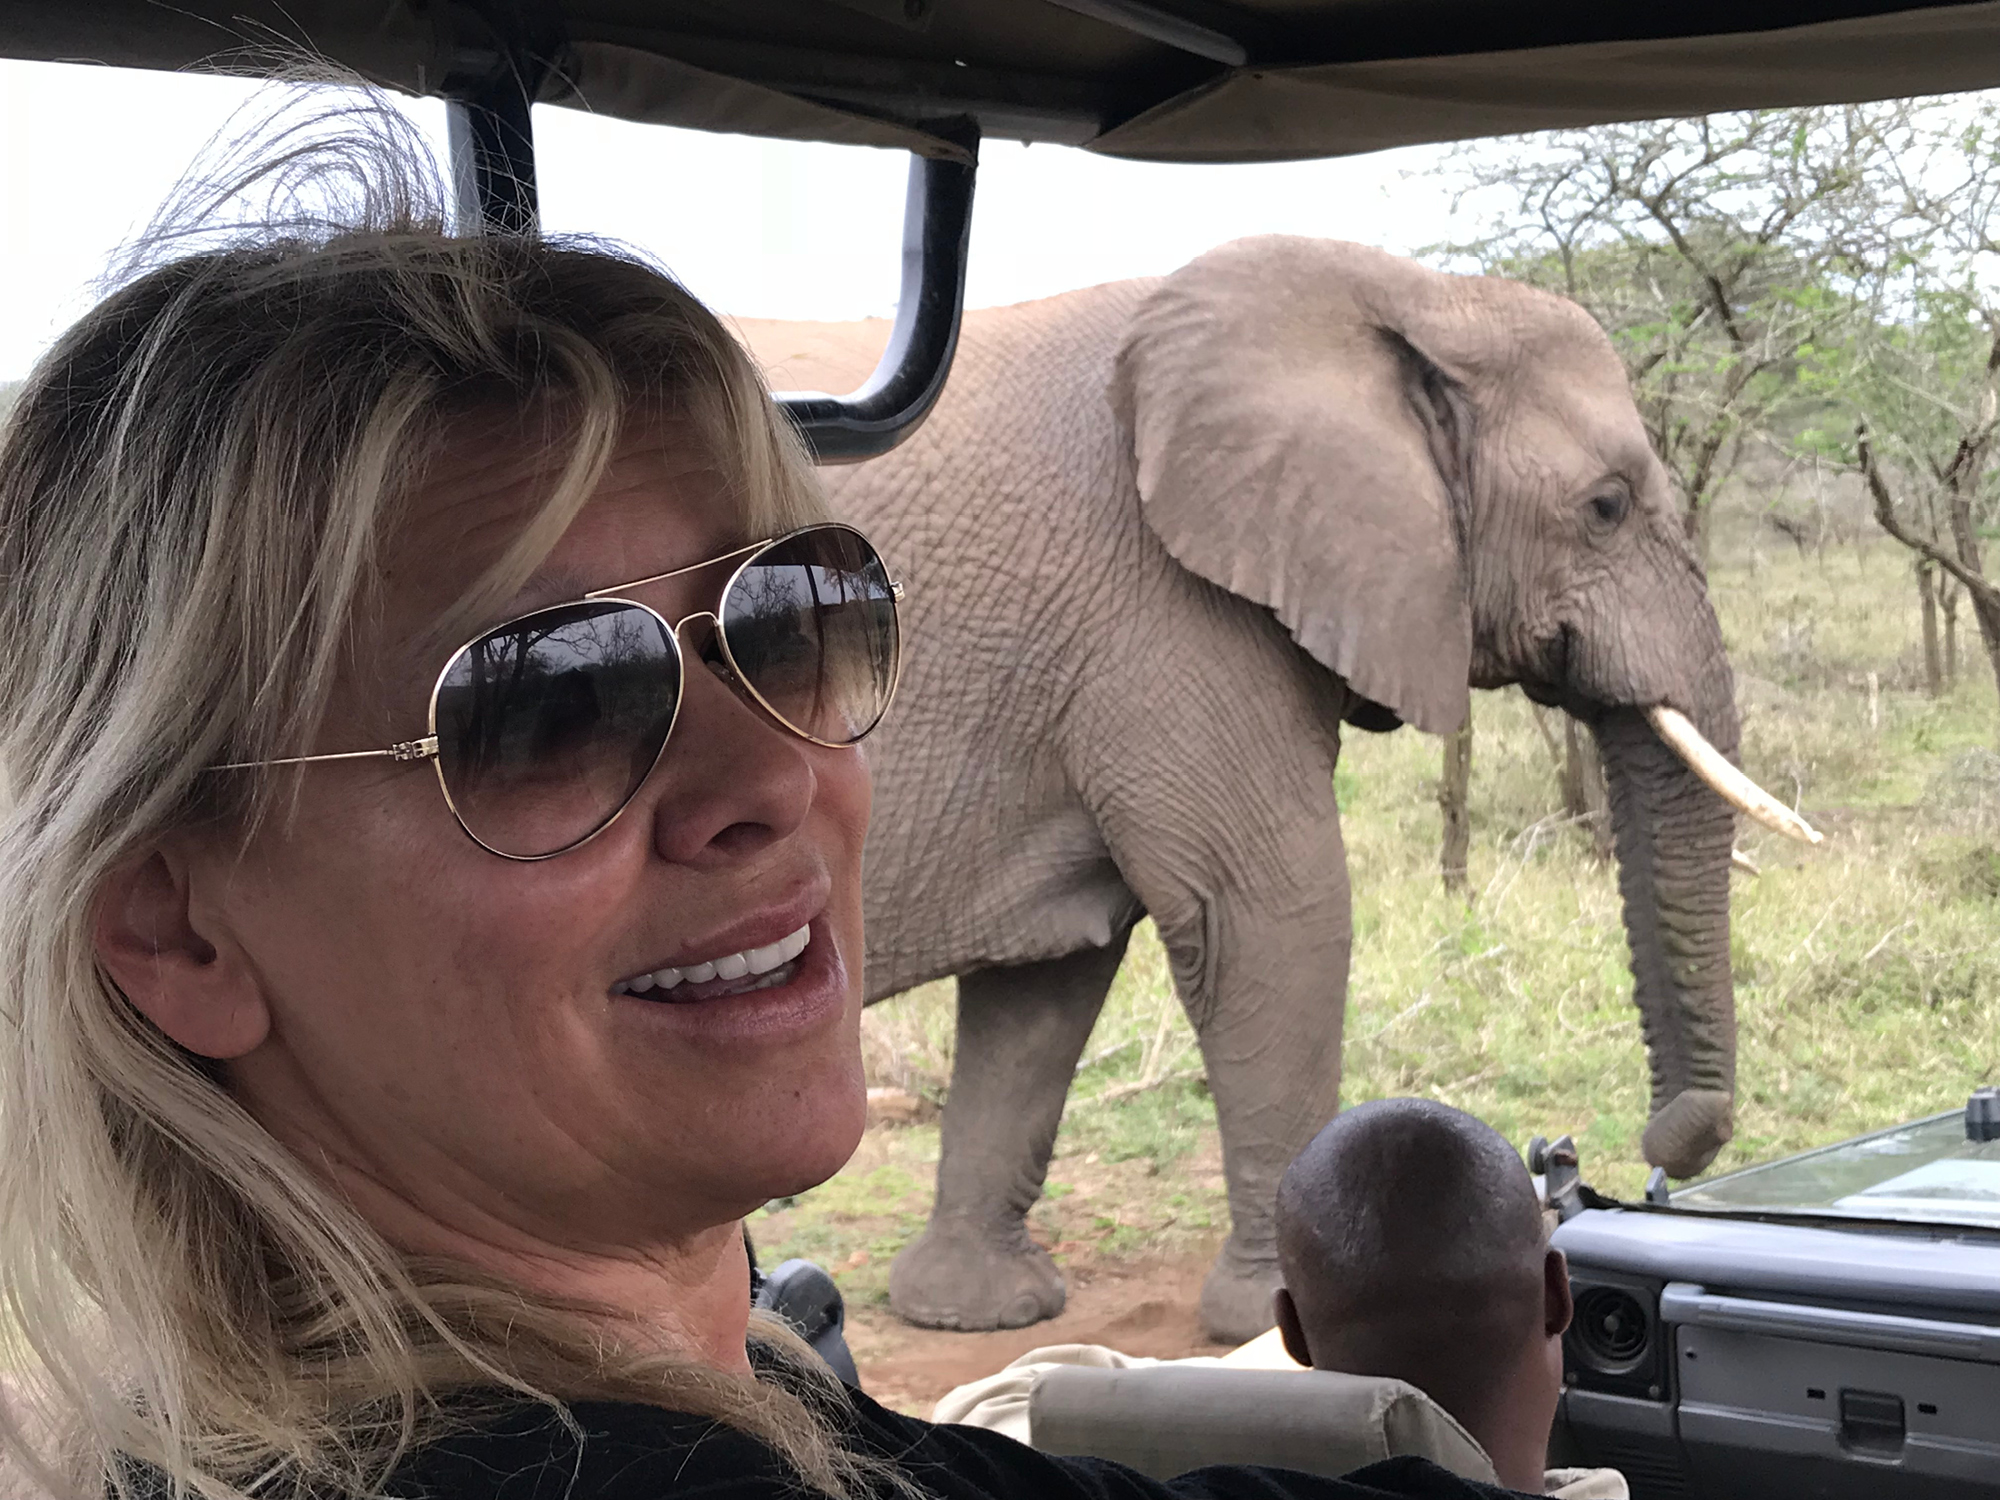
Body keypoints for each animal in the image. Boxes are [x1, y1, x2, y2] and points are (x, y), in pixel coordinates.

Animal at [728, 238, 1792, 1352]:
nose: (1643, 1152)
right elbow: (1269, 916)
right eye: (1605, 507)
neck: (1411, 294)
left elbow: (1045, 985)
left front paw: (976, 1314)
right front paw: (1286, 1317)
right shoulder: (1165, 608)